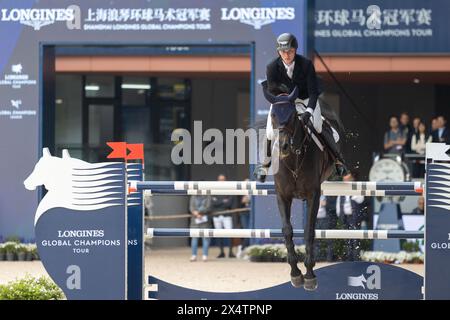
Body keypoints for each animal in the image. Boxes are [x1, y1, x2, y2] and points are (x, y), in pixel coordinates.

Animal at [262, 83, 336, 290]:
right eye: (273, 115)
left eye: (294, 116)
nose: (284, 146)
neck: (293, 159)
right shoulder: (282, 196)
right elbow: (287, 230)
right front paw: (295, 273)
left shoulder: (313, 196)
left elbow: (309, 231)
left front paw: (309, 275)